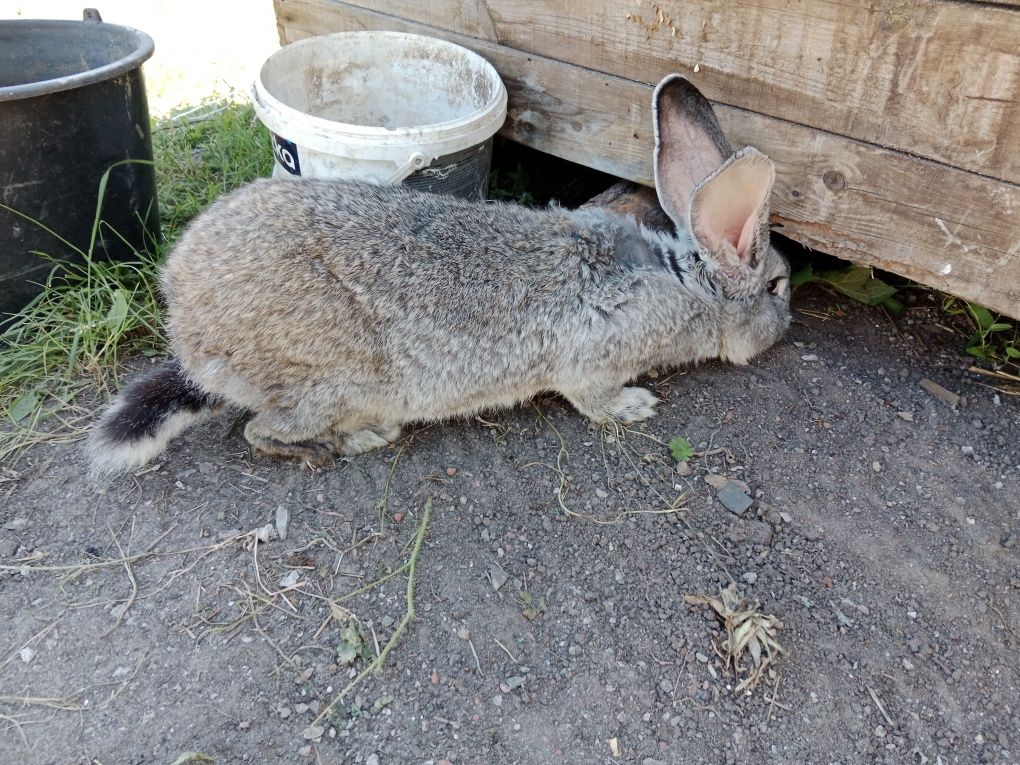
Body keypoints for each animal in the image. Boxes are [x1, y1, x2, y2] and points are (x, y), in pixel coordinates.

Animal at [89, 74, 787, 477]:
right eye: (778, 287)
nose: (784, 327)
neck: (685, 283)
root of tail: (189, 333)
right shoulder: (592, 362)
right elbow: (593, 400)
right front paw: (637, 405)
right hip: (331, 382)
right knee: (263, 431)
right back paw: (353, 442)